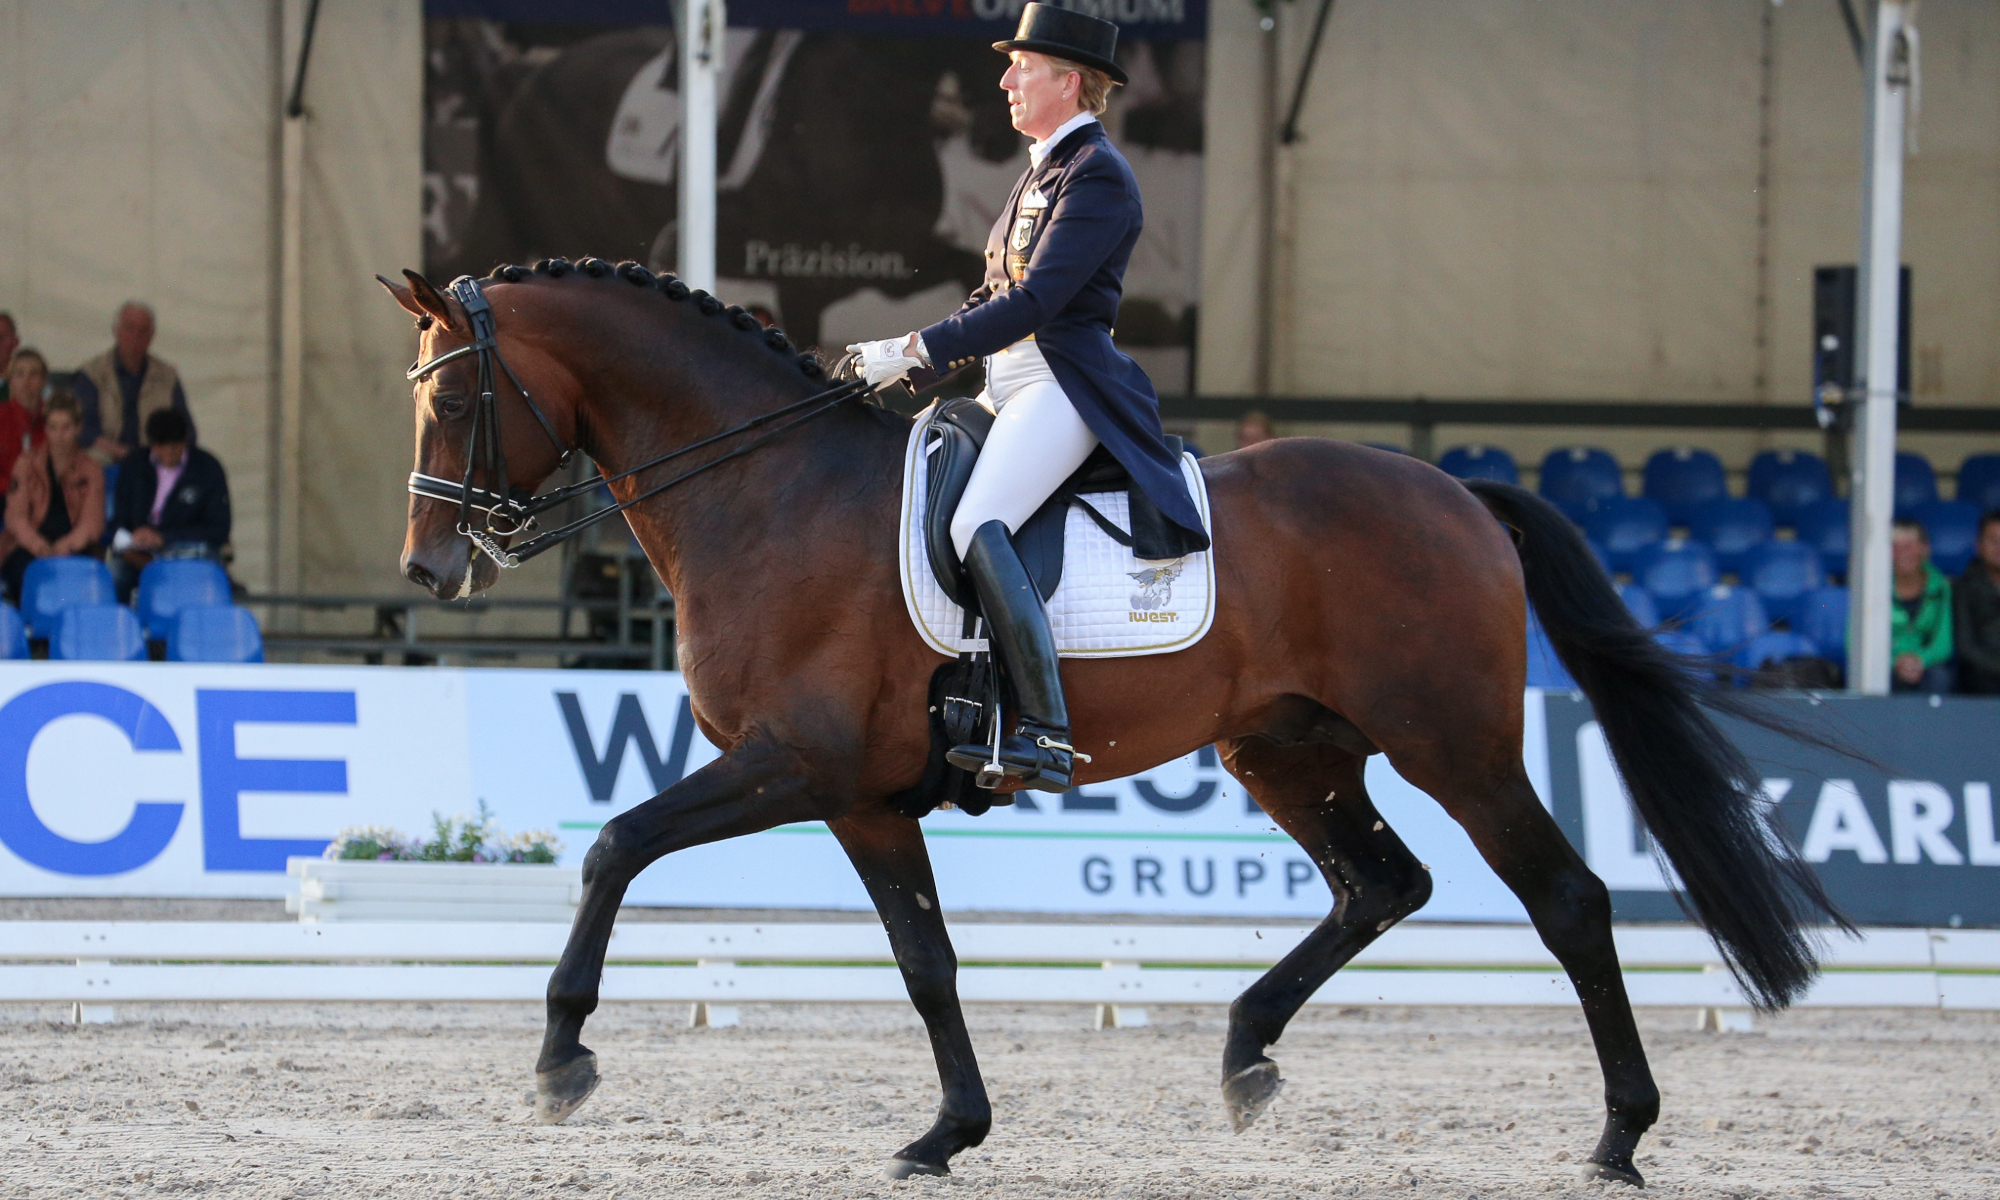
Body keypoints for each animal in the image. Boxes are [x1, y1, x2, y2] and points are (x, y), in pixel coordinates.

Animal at [380, 257, 1845, 1187]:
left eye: (452, 397)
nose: (428, 572)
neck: (767, 489)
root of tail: (1456, 491)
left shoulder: (794, 765)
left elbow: (614, 846)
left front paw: (562, 1059)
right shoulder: (859, 797)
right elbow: (926, 962)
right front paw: (948, 1133)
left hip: (1457, 746)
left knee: (1567, 902)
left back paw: (1618, 1138)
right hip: (1290, 748)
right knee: (1383, 884)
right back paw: (1246, 1058)